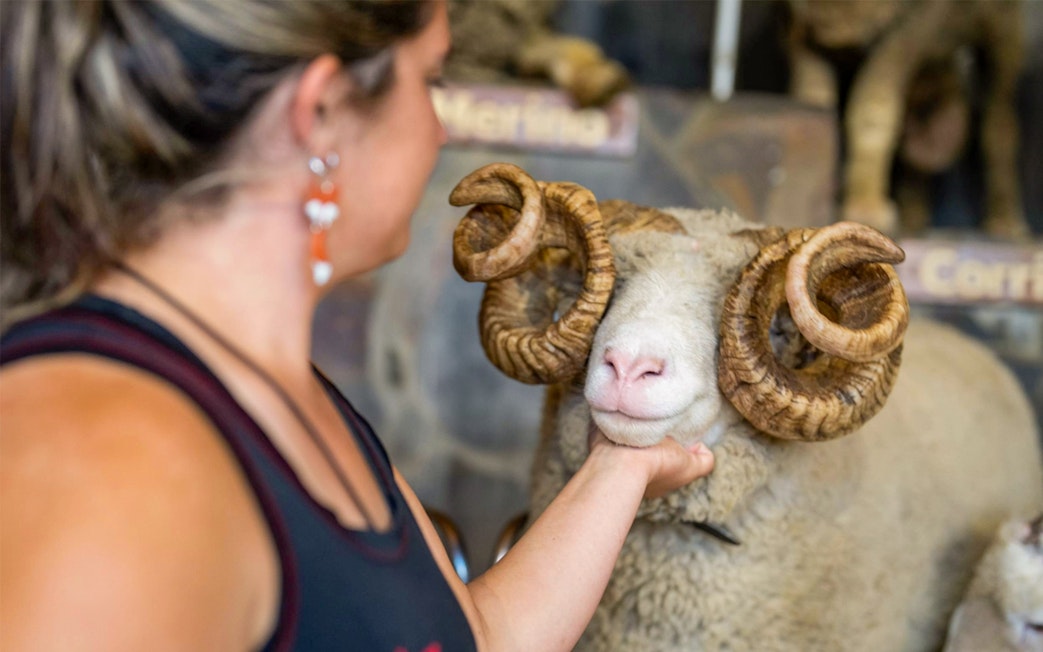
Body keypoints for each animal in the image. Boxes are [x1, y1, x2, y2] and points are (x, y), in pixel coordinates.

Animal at [787, 0, 1029, 238]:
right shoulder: (797, 26)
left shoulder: (912, 23)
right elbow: (814, 97)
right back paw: (912, 221)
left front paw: (867, 211)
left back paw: (1006, 225)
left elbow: (873, 103)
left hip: (1001, 28)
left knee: (999, 114)